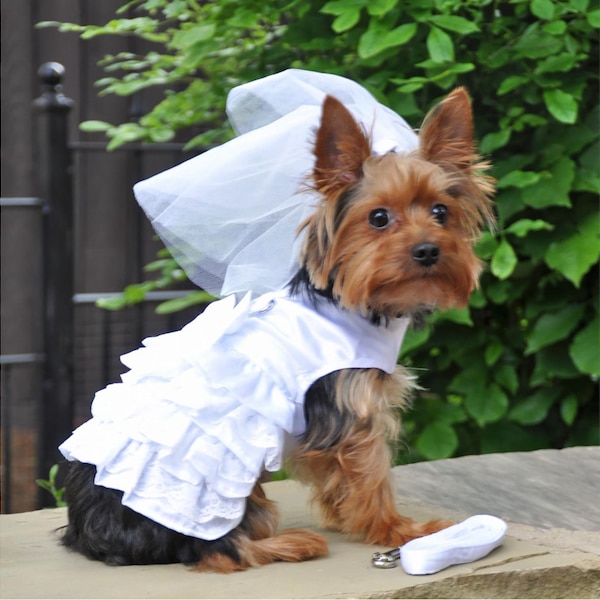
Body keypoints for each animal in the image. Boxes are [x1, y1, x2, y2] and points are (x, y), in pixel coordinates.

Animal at [58, 85, 494, 572]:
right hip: (213, 489)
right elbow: (371, 474)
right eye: (379, 218)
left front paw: (345, 517)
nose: (428, 250)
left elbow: (333, 475)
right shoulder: (351, 410)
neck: (350, 303)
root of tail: (90, 532)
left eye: (441, 212)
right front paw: (397, 530)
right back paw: (293, 543)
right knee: (219, 549)